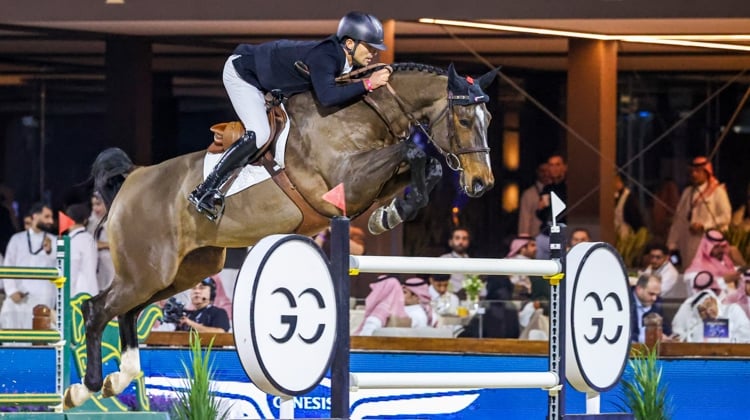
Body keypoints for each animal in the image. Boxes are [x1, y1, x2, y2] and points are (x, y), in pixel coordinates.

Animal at [63, 61, 500, 406]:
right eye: (464, 121)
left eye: (489, 122)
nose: (482, 184)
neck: (363, 114)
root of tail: (133, 178)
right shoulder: (345, 182)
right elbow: (415, 152)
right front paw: (396, 209)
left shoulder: (368, 182)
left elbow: (423, 165)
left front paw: (392, 213)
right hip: (149, 270)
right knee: (98, 309)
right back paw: (85, 388)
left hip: (183, 270)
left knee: (127, 310)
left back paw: (119, 378)